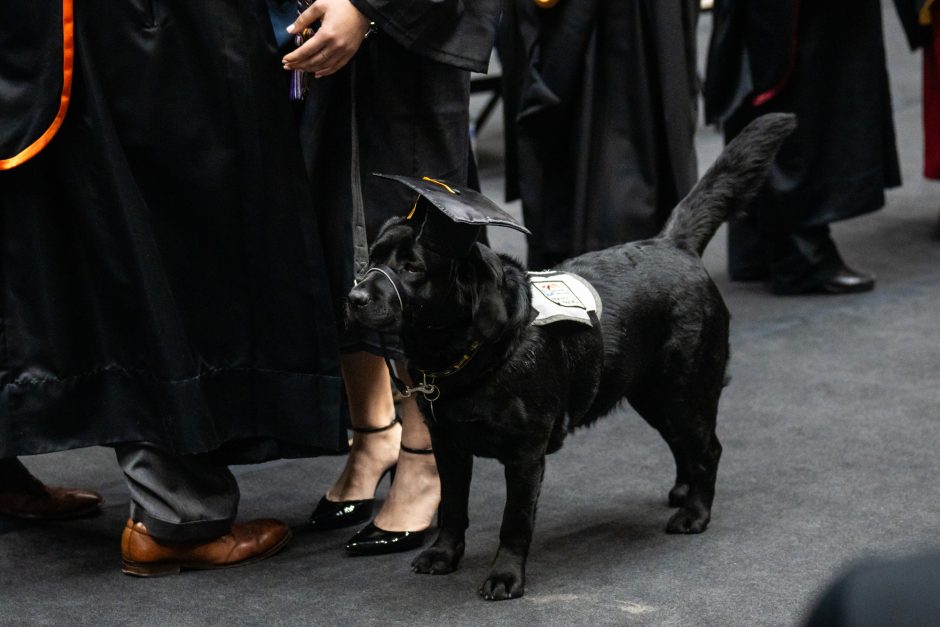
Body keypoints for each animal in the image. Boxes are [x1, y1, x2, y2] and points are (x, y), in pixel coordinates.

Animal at [346, 115, 792, 600]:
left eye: (413, 268)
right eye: (372, 257)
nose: (354, 297)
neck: (469, 351)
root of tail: (674, 243)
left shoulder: (526, 453)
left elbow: (514, 521)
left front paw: (505, 577)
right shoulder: (448, 444)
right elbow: (453, 509)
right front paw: (443, 557)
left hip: (686, 387)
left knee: (708, 447)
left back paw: (694, 513)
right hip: (652, 394)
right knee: (682, 443)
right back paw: (682, 491)